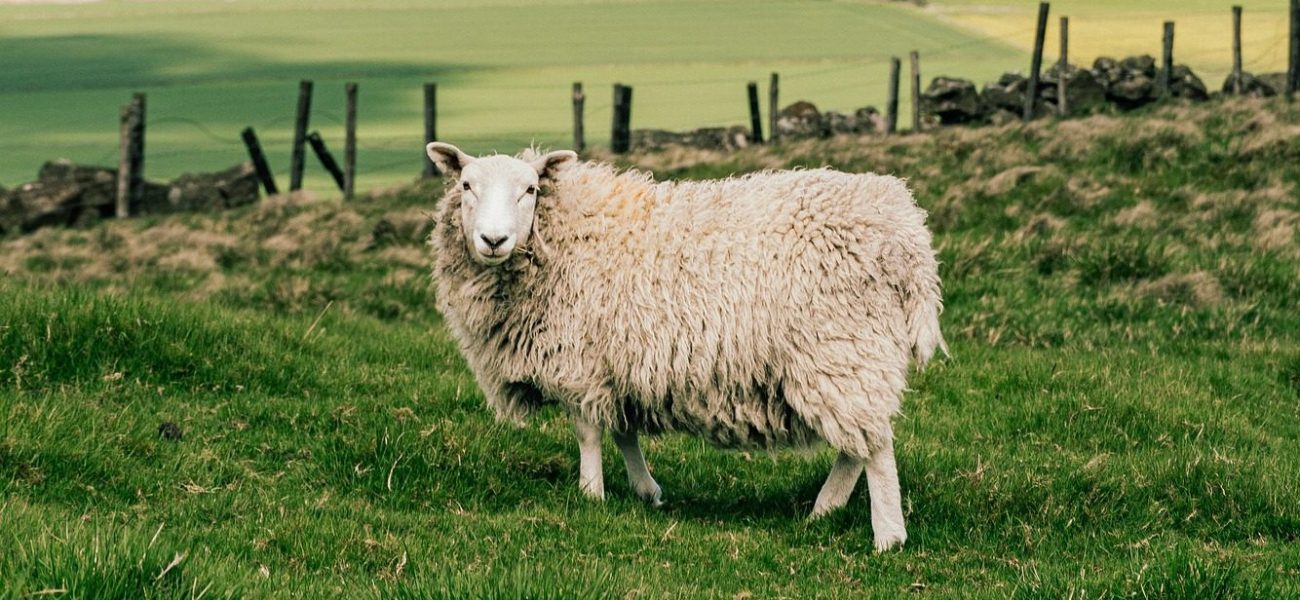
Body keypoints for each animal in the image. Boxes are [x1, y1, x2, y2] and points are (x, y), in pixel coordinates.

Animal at [425, 142, 945, 551]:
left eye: (530, 190)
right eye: (466, 185)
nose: (494, 239)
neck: (566, 236)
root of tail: (907, 234)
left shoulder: (580, 361)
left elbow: (589, 433)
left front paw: (591, 494)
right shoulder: (620, 363)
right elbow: (624, 431)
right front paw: (646, 491)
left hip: (843, 347)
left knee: (875, 445)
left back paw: (888, 535)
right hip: (849, 357)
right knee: (859, 443)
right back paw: (825, 510)